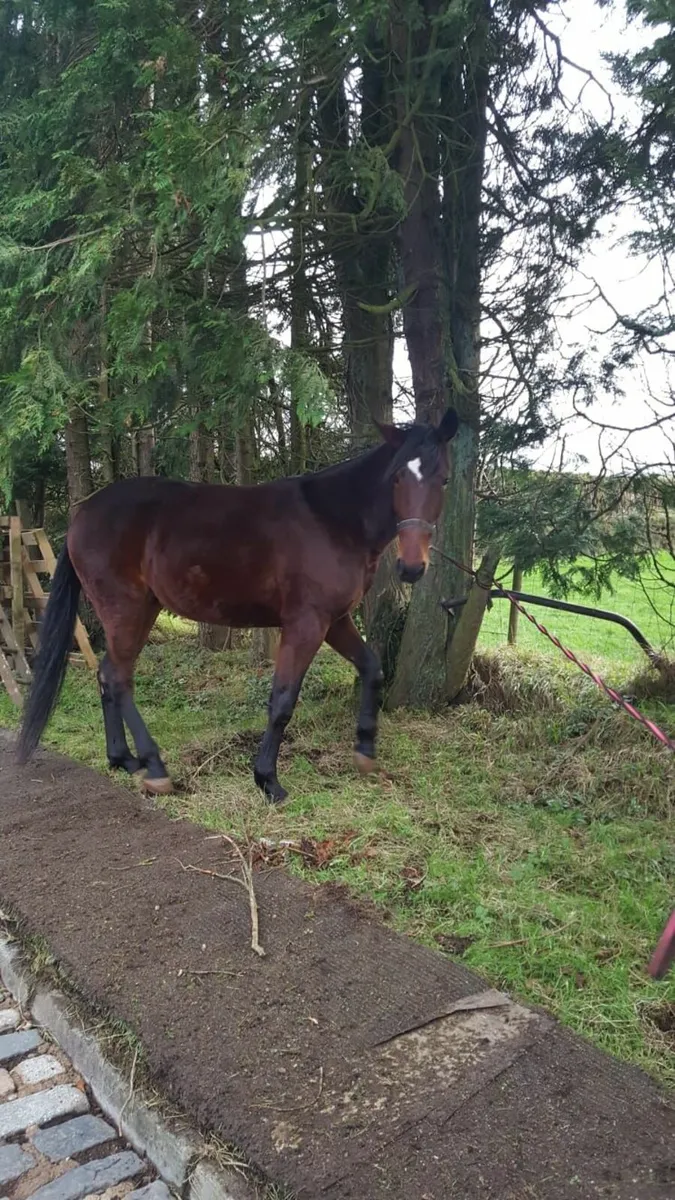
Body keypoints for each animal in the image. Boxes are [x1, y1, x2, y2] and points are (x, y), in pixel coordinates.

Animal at [17, 407, 458, 802]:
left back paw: (123, 759)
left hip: (139, 612)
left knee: (107, 676)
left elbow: (372, 668)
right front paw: (267, 780)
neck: (333, 520)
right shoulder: (306, 624)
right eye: (398, 477)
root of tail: (83, 514)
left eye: (444, 479)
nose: (412, 567)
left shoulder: (335, 620)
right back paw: (155, 768)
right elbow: (282, 700)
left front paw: (365, 751)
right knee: (119, 678)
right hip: (127, 610)